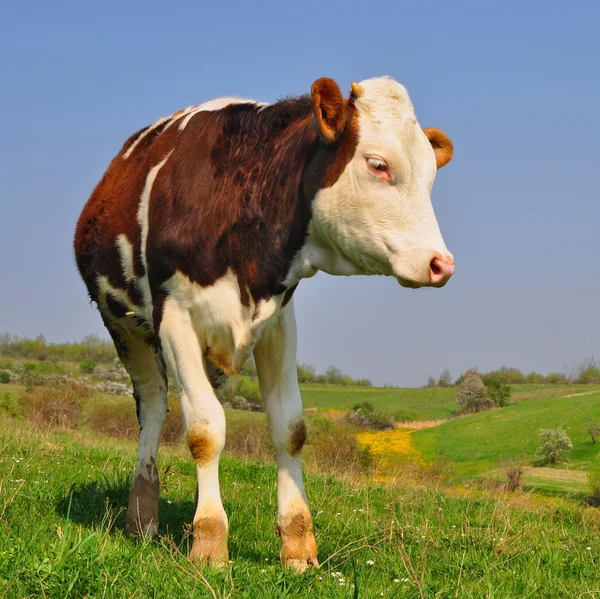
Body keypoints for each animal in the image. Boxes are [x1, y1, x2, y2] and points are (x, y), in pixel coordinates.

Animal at [74, 76, 454, 572]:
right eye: (378, 164)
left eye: (431, 175)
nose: (441, 264)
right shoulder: (174, 316)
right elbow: (204, 430)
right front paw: (209, 544)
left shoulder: (279, 321)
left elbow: (288, 428)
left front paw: (298, 545)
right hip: (126, 327)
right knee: (154, 407)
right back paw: (142, 518)